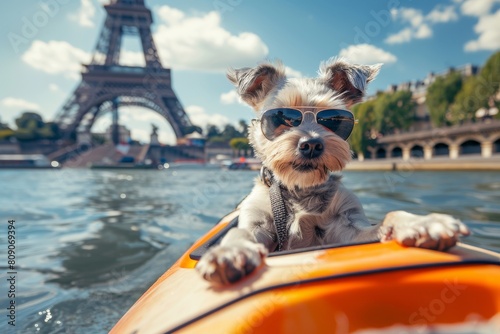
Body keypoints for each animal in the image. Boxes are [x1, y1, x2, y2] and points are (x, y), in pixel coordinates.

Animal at [195, 56, 468, 284]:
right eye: (280, 118)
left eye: (334, 120)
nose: (311, 144)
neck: (300, 188)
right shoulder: (257, 222)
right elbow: (239, 233)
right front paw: (229, 251)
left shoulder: (346, 228)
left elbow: (389, 217)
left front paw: (423, 223)